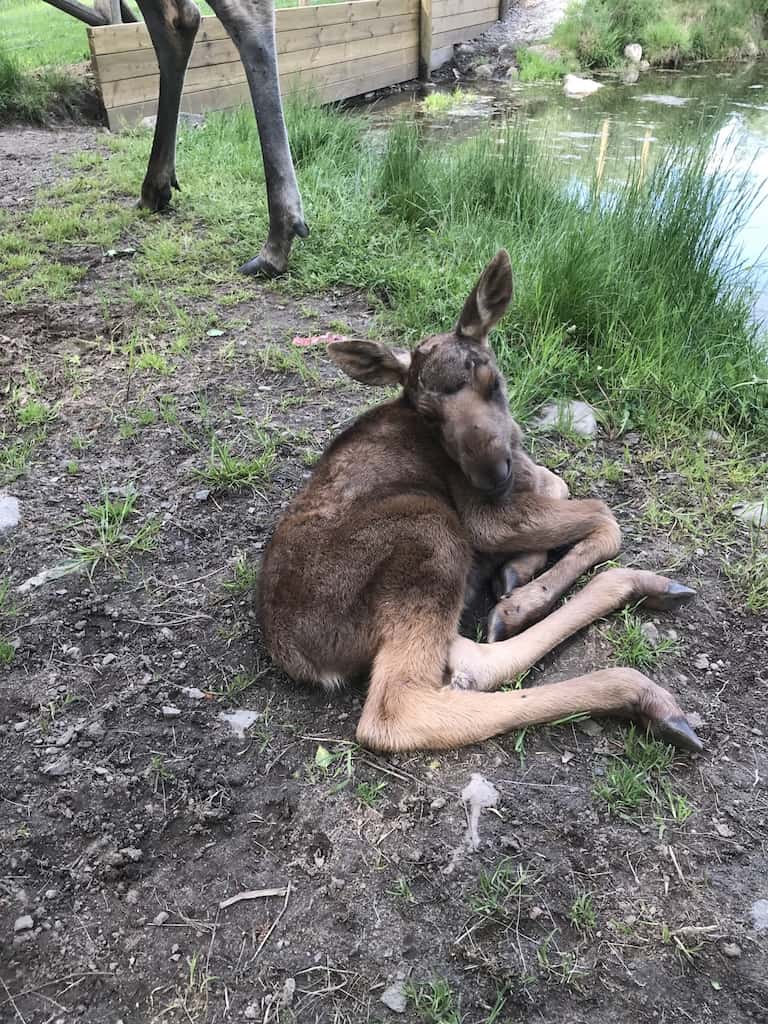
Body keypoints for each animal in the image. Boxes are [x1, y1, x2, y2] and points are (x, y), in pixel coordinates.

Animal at [262, 252, 708, 757]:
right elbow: (602, 514)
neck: (515, 446)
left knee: (465, 658)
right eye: (428, 414)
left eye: (492, 381)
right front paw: (525, 586)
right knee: (406, 704)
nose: (491, 474)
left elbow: (559, 484)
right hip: (431, 532)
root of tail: (303, 658)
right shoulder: (485, 519)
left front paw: (521, 566)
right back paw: (635, 687)